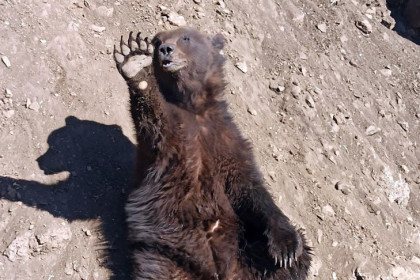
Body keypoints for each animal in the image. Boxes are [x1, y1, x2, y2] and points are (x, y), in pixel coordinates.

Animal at [113, 27, 310, 278]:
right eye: (157, 41)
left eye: (185, 38)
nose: (165, 49)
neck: (195, 106)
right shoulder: (175, 140)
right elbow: (156, 125)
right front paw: (135, 60)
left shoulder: (227, 140)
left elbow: (248, 188)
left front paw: (285, 248)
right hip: (164, 252)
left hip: (244, 249)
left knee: (300, 255)